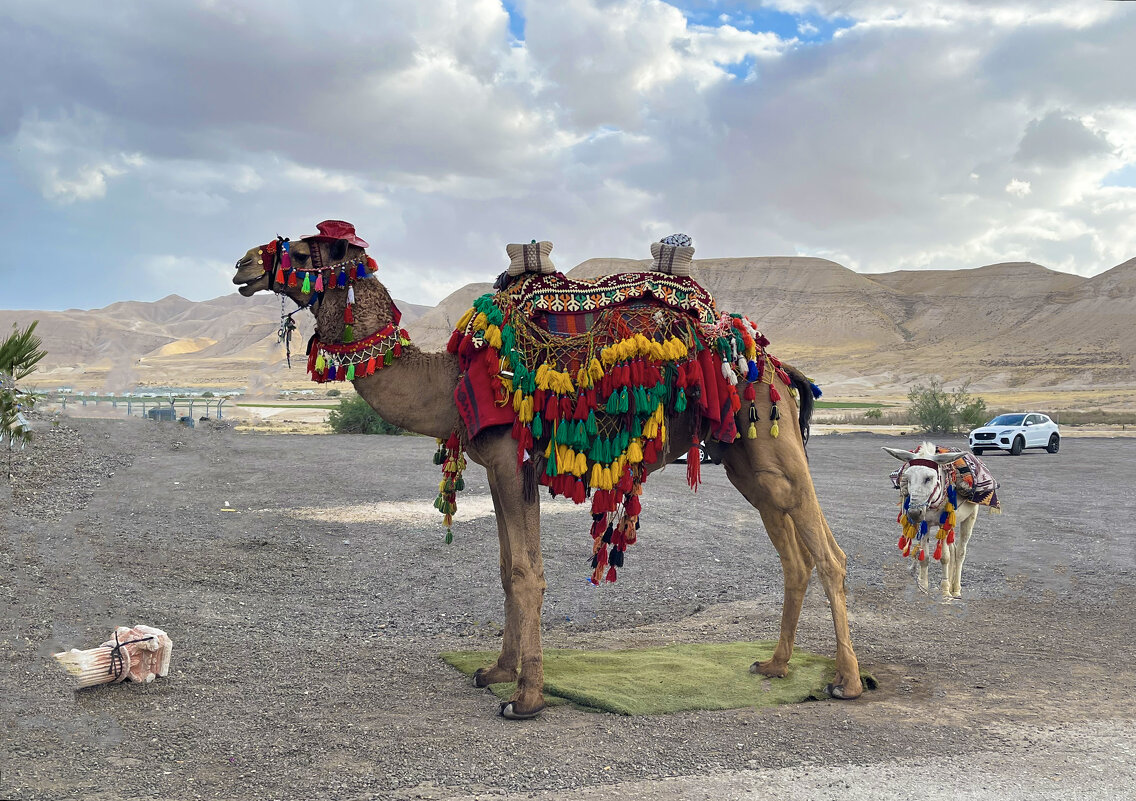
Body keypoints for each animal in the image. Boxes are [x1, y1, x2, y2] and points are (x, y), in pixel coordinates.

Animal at [232, 224, 858, 718]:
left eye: (306, 250)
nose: (243, 264)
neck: (448, 378)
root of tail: (775, 363)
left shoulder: (513, 462)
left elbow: (526, 572)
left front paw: (527, 698)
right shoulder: (500, 468)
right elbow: (507, 568)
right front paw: (497, 671)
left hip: (772, 443)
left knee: (829, 553)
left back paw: (845, 682)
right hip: (744, 459)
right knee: (795, 556)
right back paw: (776, 666)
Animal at [881, 440, 999, 595]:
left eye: (928, 478)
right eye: (907, 478)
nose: (914, 513)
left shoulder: (944, 523)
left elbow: (944, 557)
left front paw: (945, 591)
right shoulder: (925, 523)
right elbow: (924, 557)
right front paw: (923, 587)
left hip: (970, 517)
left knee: (960, 552)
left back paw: (955, 589)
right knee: (953, 550)